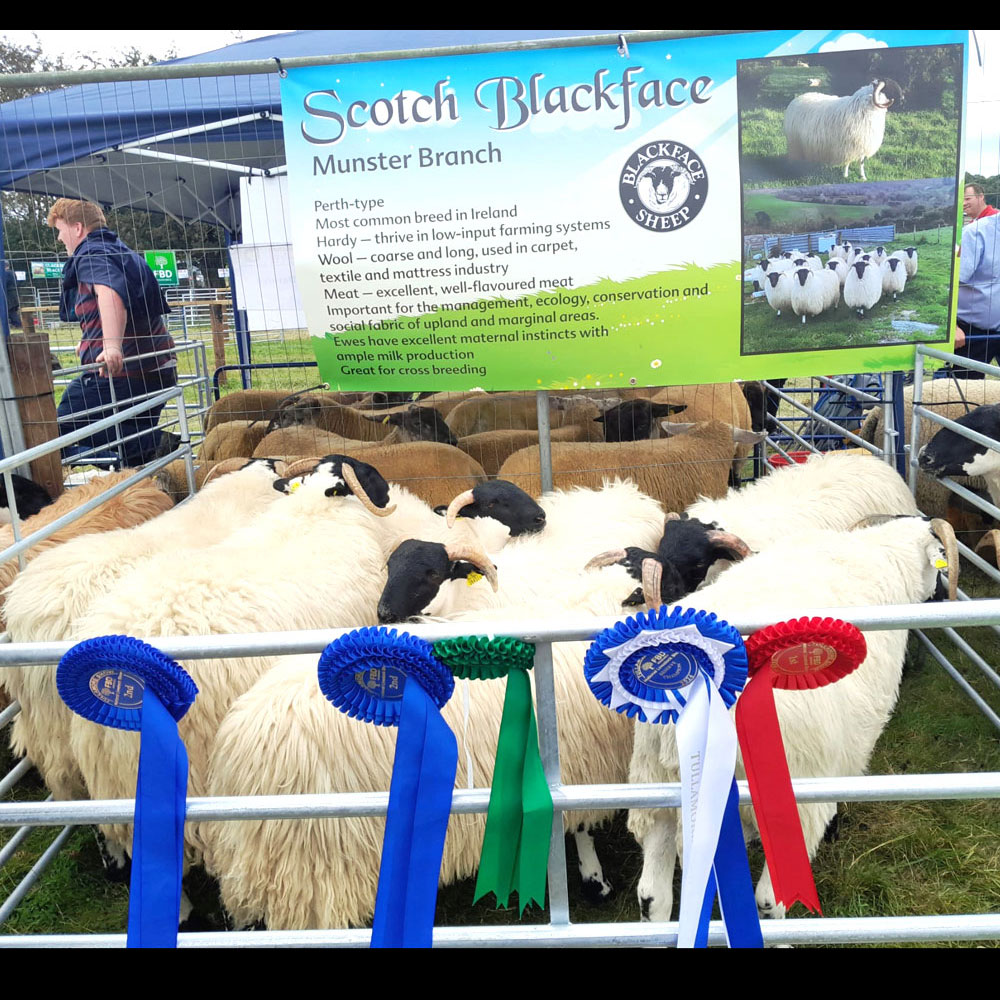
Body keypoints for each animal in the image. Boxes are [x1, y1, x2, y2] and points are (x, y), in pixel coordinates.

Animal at [627, 513, 957, 923]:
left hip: (655, 785)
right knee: (769, 899)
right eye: (940, 558)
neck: (886, 557)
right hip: (787, 796)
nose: (942, 596)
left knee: (651, 895)